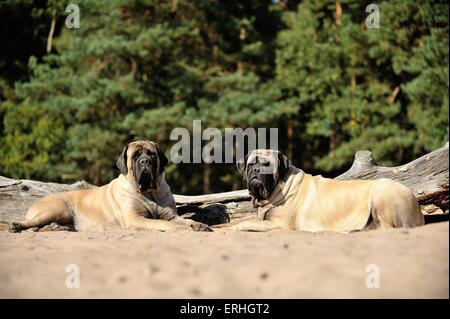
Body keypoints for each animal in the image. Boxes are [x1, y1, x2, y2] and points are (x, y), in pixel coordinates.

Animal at [9, 141, 211, 234]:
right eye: (135, 156)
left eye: (151, 154)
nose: (145, 161)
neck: (149, 192)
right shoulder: (134, 218)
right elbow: (162, 223)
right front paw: (176, 228)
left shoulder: (171, 215)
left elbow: (183, 220)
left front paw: (198, 225)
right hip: (57, 208)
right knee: (31, 223)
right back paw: (17, 225)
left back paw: (57, 228)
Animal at [232, 150, 426, 232]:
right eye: (251, 164)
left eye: (267, 165)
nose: (257, 170)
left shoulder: (279, 223)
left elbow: (245, 223)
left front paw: (238, 227)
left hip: (381, 191)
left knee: (388, 228)